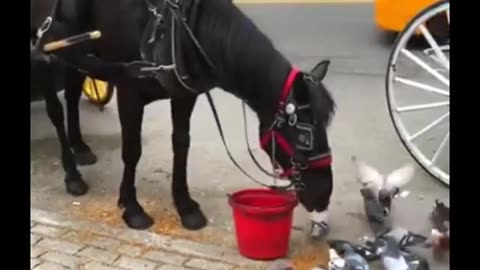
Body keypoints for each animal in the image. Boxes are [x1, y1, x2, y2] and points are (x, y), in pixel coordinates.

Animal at [37, 0, 338, 236]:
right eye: (304, 135)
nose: (324, 194)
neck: (174, 27)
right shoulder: (128, 90)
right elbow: (132, 150)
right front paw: (132, 207)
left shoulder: (184, 95)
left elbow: (181, 144)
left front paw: (185, 205)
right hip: (46, 52)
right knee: (55, 110)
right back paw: (72, 174)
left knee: (72, 94)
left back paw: (80, 148)